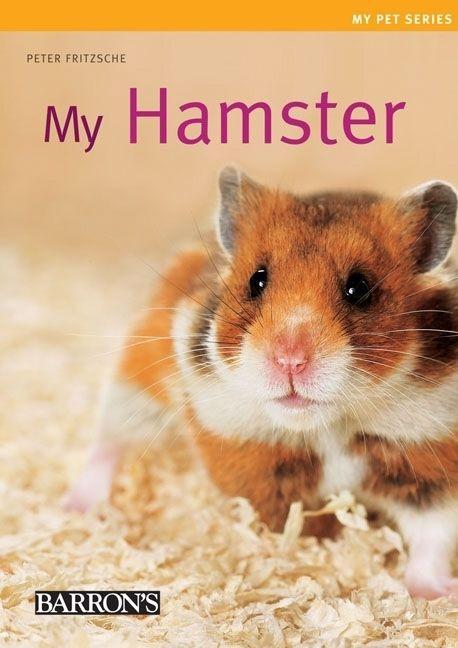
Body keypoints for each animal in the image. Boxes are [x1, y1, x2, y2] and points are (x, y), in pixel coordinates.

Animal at [65, 167, 458, 600]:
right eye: (257, 281)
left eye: (360, 289)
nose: (289, 360)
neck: (326, 426)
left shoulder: (431, 470)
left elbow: (433, 537)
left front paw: (440, 593)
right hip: (134, 387)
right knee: (109, 444)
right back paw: (78, 508)